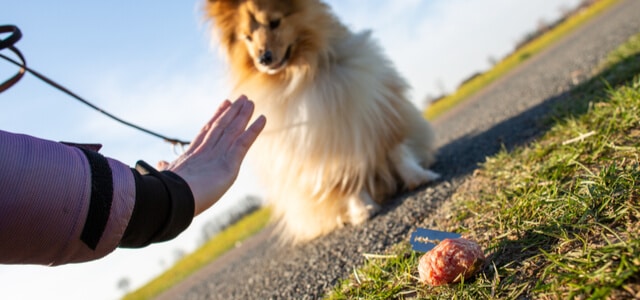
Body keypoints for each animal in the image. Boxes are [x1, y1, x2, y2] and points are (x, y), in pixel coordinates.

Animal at [205, 0, 440, 244]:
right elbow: (341, 179)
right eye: (248, 37)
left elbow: (397, 150)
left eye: (275, 22)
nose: (263, 59)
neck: (302, 72)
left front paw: (420, 177)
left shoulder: (376, 107)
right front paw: (362, 210)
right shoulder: (320, 145)